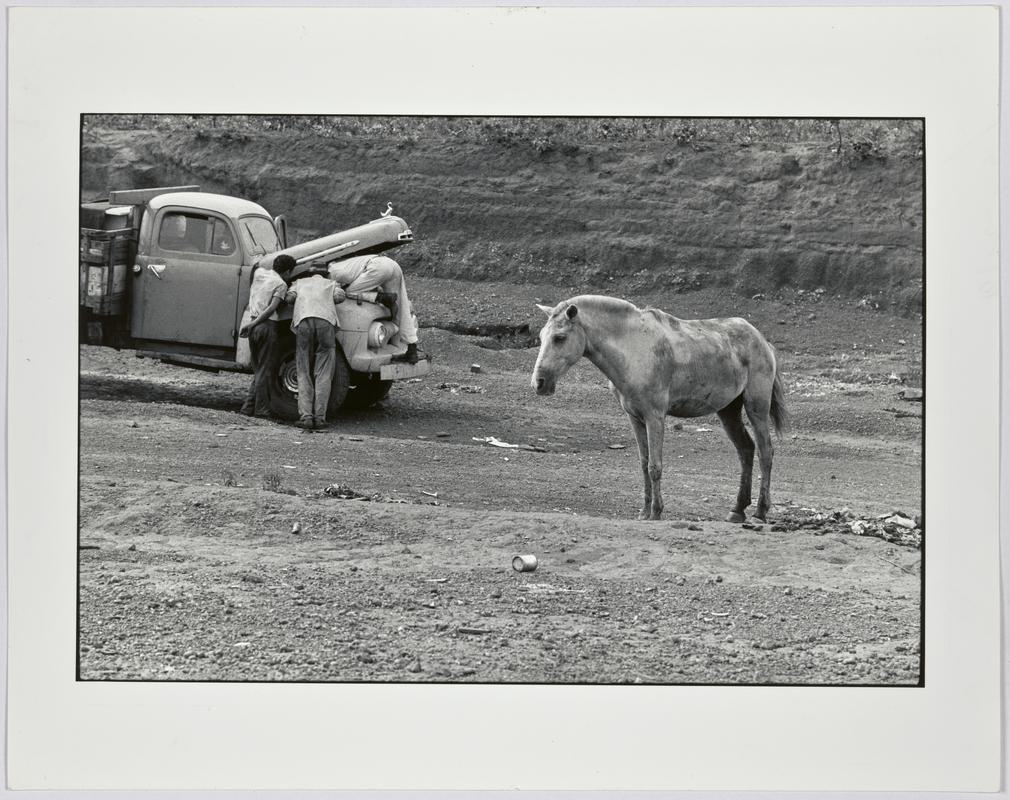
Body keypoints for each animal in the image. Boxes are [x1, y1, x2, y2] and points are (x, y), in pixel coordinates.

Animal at [533, 296, 783, 521]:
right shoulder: (635, 418)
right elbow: (644, 465)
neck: (633, 348)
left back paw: (760, 512)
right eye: (541, 337)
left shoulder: (655, 417)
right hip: (728, 411)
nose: (539, 383)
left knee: (765, 452)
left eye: (560, 337)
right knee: (746, 450)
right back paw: (738, 510)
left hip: (757, 408)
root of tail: (763, 341)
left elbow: (655, 466)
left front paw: (656, 511)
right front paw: (644, 512)